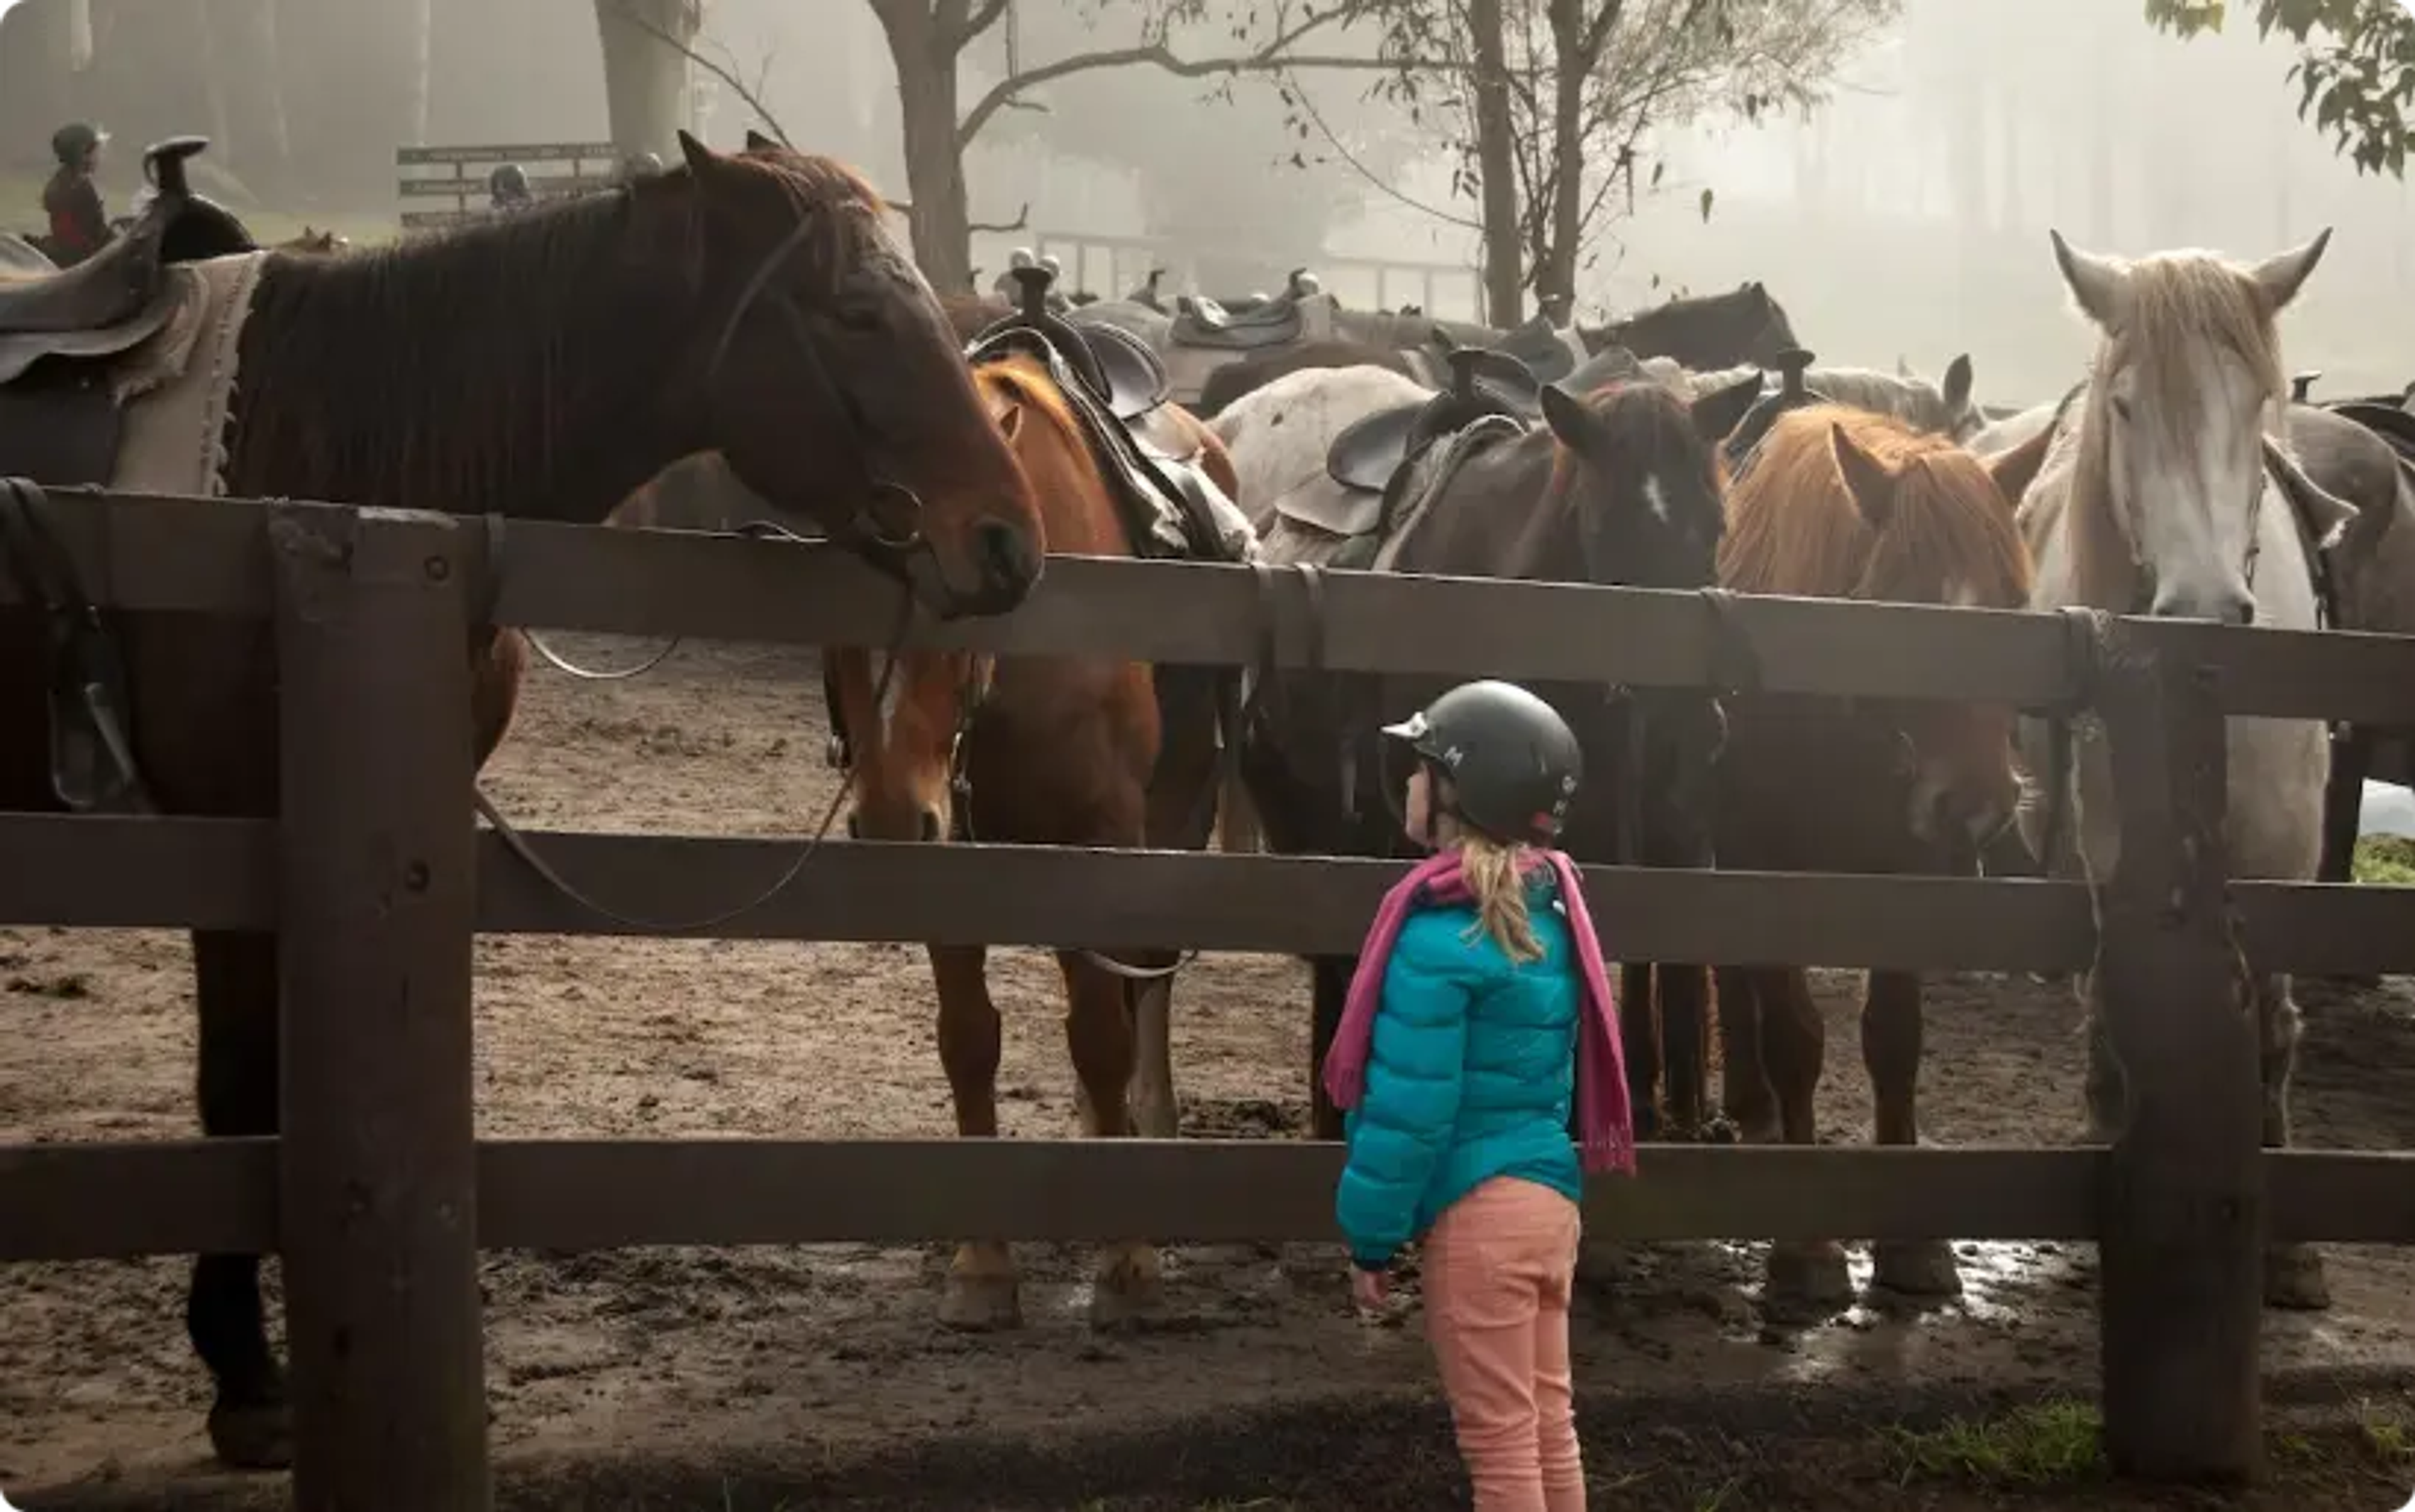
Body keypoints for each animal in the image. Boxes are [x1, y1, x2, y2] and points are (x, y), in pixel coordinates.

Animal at [0, 131, 1043, 1470]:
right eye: (857, 312)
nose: (1009, 543)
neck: (325, 467)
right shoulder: (231, 836)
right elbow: (236, 1090)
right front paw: (245, 1376)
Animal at [822, 345, 1238, 1331]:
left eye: (966, 596)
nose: (890, 822)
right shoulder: (955, 860)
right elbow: (970, 1040)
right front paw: (983, 1265)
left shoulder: (1101, 844)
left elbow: (1102, 1036)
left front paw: (1126, 1258)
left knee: (1143, 989)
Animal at [1710, 404, 2042, 1316]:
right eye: (1902, 602)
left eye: (2016, 601)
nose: (1977, 804)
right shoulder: (1767, 872)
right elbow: (1796, 1037)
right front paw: (1807, 1249)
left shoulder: (1910, 879)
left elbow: (1896, 1040)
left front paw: (1912, 1244)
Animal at [2012, 230, 2398, 1313]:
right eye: (2126, 406)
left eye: (2252, 400)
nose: (2202, 608)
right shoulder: (2101, 865)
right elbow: (2116, 1005)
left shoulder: (2282, 863)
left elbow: (2271, 1023)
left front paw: (2292, 1253)